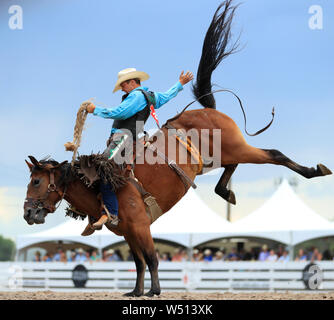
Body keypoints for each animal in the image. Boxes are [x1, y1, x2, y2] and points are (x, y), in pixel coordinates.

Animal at [22, 1, 332, 298]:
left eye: (36, 181)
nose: (26, 214)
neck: (97, 186)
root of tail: (207, 109)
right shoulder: (128, 232)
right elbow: (138, 262)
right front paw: (136, 291)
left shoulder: (140, 226)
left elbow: (151, 258)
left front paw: (154, 291)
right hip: (219, 157)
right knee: (233, 167)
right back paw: (227, 192)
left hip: (240, 148)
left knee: (274, 154)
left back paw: (315, 170)